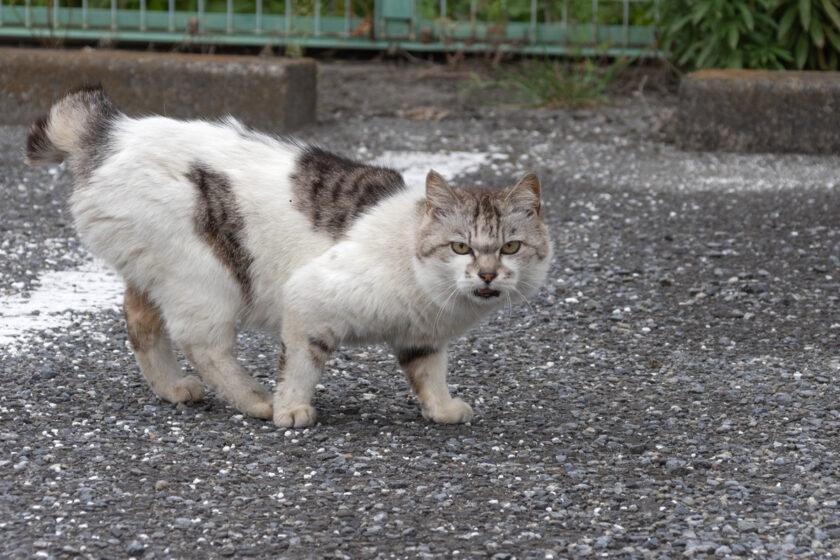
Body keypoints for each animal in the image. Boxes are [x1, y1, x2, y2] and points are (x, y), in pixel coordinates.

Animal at [24, 85, 552, 428]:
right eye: (461, 246)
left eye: (510, 246)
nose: (487, 274)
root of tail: (113, 132)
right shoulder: (309, 299)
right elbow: (301, 363)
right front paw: (289, 410)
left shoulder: (421, 336)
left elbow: (430, 373)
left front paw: (441, 409)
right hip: (204, 279)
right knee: (202, 343)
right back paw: (255, 401)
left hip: (160, 270)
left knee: (140, 319)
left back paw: (172, 388)